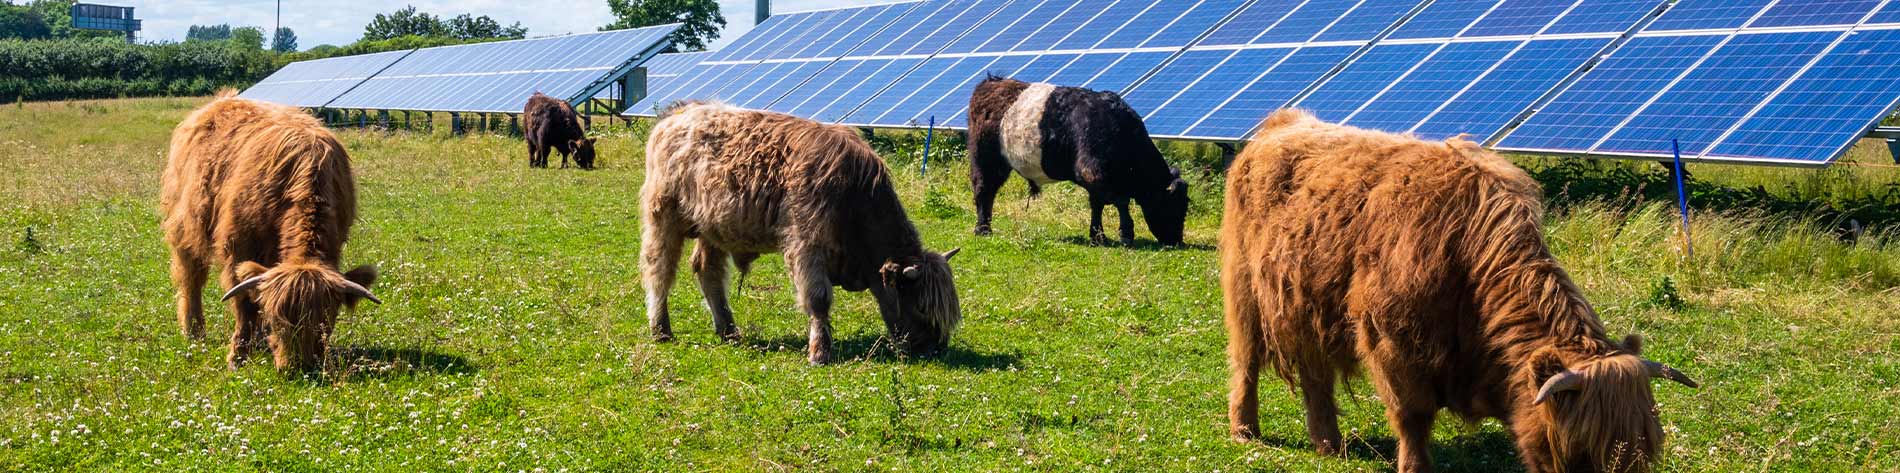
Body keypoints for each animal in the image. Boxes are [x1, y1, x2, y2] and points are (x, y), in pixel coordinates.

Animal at [161, 93, 380, 372]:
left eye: (326, 322)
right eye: (278, 321)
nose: (299, 366)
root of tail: (222, 100)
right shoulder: (239, 248)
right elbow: (244, 304)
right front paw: (237, 358)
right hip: (186, 224)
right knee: (191, 277)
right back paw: (194, 331)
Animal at [642, 101, 965, 364]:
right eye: (921, 307)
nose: (935, 349)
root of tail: (679, 114)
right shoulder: (807, 246)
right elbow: (818, 299)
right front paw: (819, 352)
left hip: (713, 229)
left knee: (708, 272)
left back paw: (729, 330)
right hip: (663, 217)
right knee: (659, 270)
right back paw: (661, 329)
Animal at [965, 75, 1185, 245]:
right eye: (1173, 205)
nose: (1176, 240)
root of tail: (993, 81)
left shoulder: (1096, 181)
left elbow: (1097, 205)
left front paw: (1098, 237)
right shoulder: (1092, 172)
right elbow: (1121, 201)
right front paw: (1126, 235)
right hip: (985, 159)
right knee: (984, 190)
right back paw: (983, 229)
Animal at [1223, 109, 1702, 471]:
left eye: (1641, 456)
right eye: (1583, 454)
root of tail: (1284, 121)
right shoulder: (1393, 343)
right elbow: (1412, 417)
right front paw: (1414, 466)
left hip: (1304, 304)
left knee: (1315, 375)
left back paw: (1328, 443)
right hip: (1246, 290)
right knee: (1247, 361)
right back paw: (1245, 431)